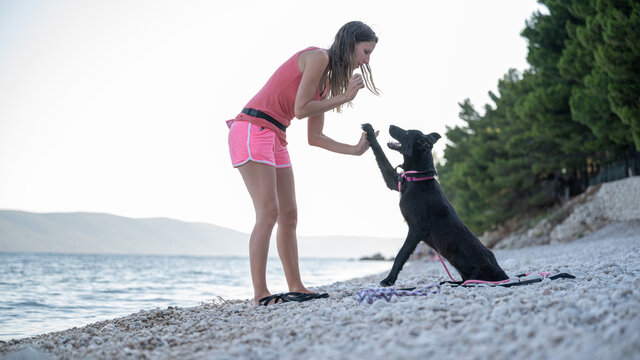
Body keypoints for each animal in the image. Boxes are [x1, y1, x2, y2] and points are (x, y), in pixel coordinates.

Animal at [360, 124, 504, 286]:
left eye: (407, 132)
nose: (390, 125)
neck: (417, 177)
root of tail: (502, 274)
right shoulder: (394, 182)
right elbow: (380, 154)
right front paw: (370, 131)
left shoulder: (417, 229)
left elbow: (401, 255)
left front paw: (389, 279)